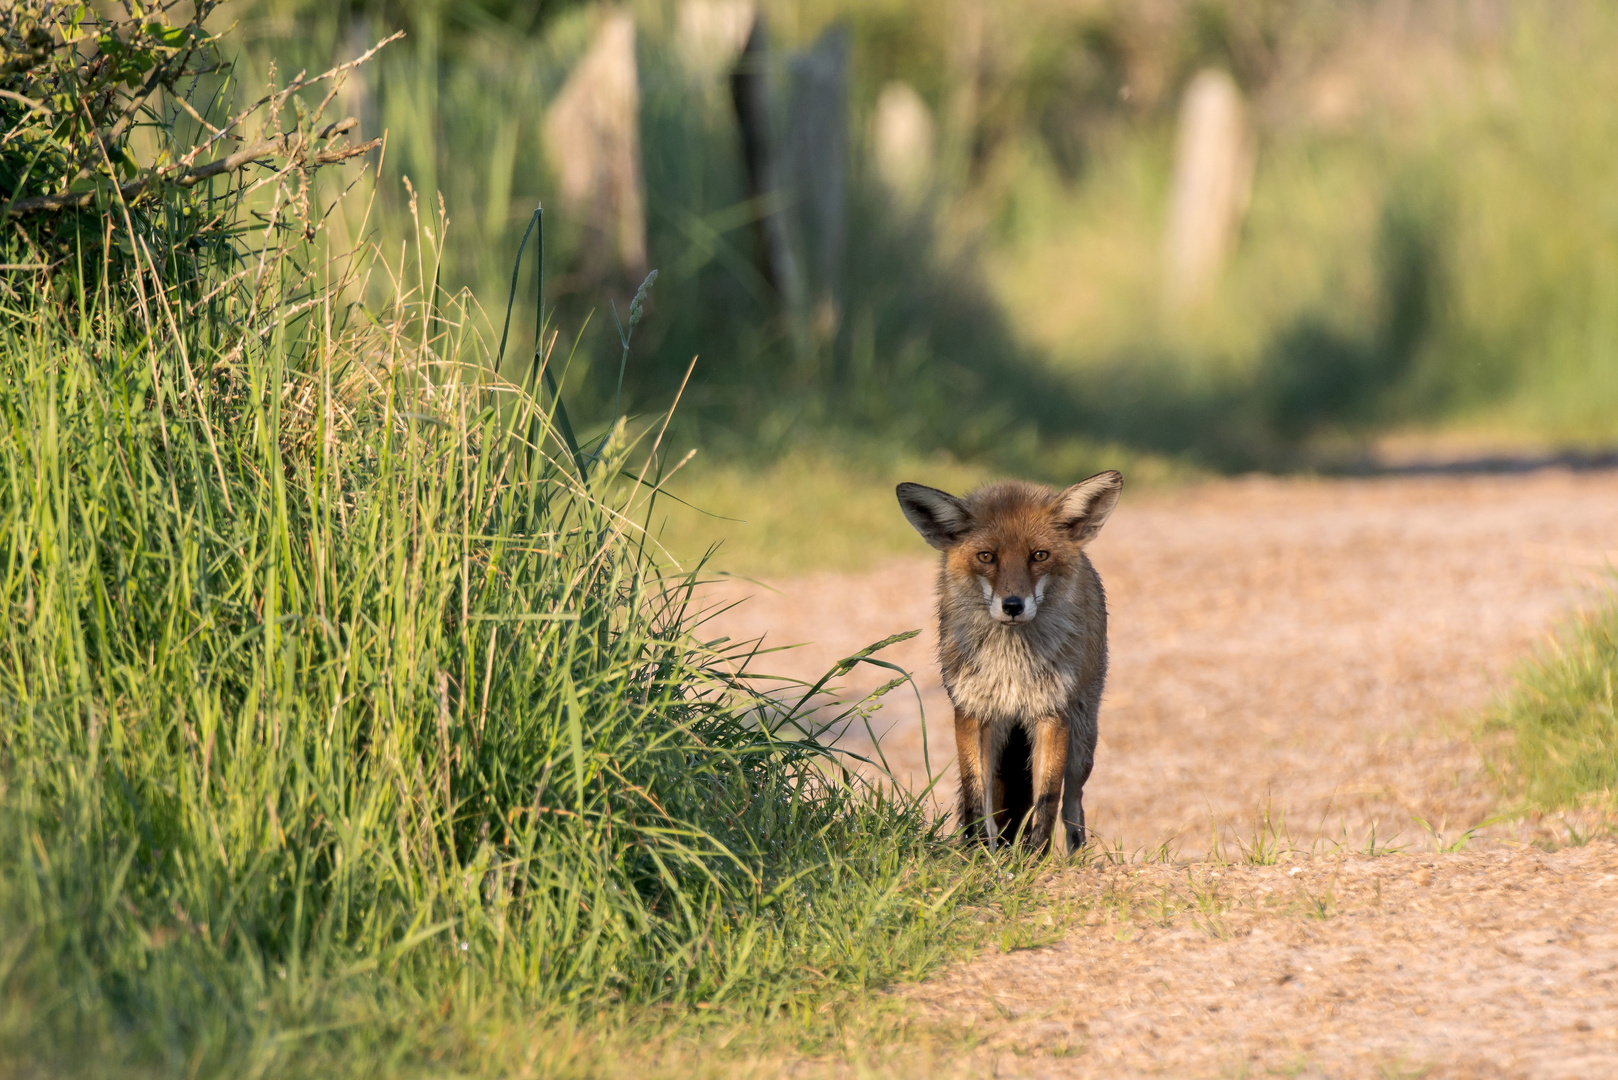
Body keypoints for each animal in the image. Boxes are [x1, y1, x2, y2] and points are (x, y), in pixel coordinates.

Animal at [893, 472, 1119, 854]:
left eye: (1039, 555)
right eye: (987, 556)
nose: (1013, 605)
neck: (1011, 665)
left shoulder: (1052, 713)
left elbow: (1047, 800)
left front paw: (1035, 857)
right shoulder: (971, 711)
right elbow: (974, 795)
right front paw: (979, 853)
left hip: (1082, 739)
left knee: (1073, 802)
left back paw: (1075, 856)